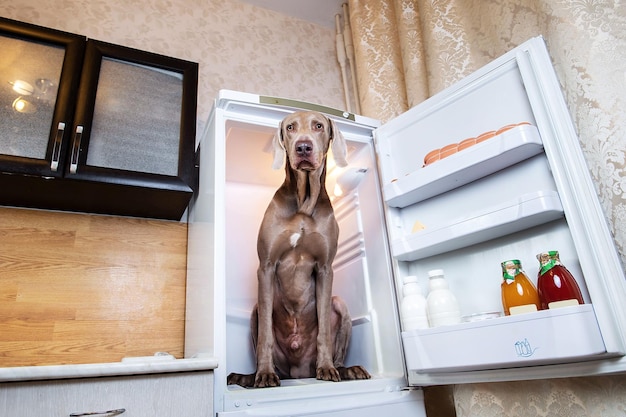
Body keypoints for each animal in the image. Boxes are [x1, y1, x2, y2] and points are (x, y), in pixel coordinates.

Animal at [225, 110, 368, 386]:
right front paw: (265, 374)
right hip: (256, 312)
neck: (304, 201)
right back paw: (252, 376)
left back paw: (346, 370)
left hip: (340, 305)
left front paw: (327, 369)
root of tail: (299, 373)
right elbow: (265, 336)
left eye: (319, 126)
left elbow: (324, 330)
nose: (303, 147)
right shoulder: (266, 266)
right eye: (290, 127)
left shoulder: (325, 268)